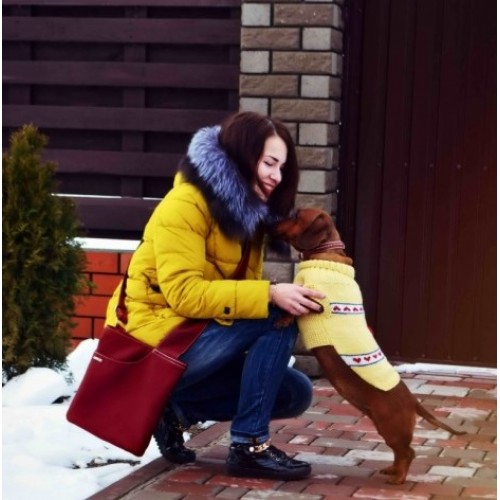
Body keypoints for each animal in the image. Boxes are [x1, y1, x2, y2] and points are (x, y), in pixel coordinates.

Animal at [272, 208, 466, 484]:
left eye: (296, 214)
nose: (273, 220)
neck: (324, 257)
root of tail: (412, 400)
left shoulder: (313, 301)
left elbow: (295, 306)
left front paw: (282, 318)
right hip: (383, 426)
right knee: (400, 452)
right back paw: (392, 471)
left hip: (390, 426)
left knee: (408, 452)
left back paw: (397, 478)